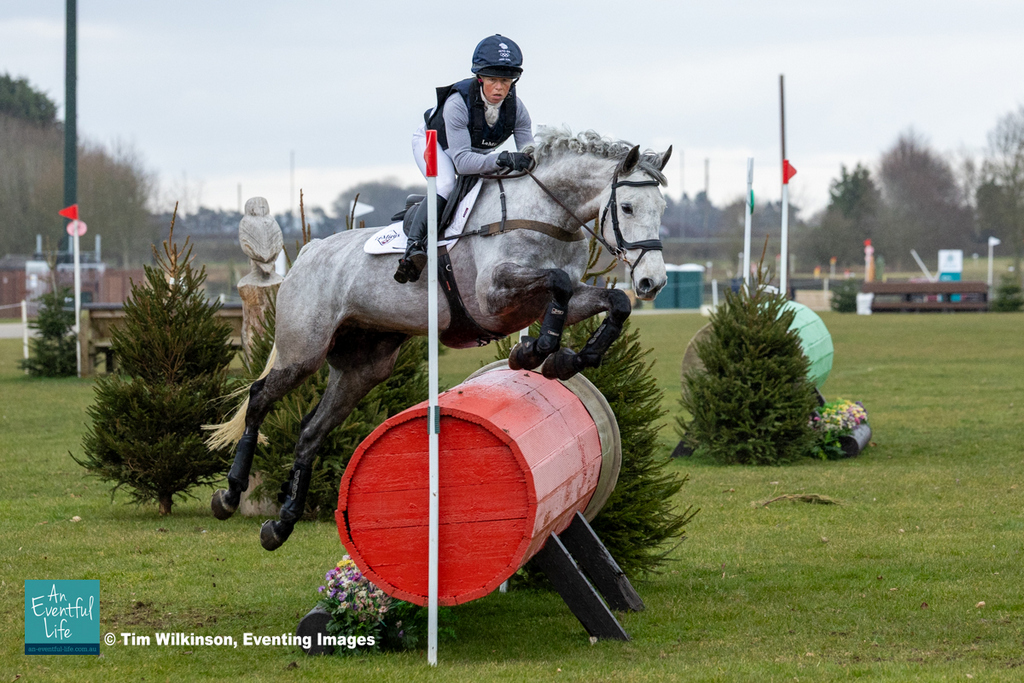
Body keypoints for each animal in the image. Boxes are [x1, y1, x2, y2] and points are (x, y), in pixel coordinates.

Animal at [206, 126, 672, 551]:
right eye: (627, 206)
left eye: (662, 208)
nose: (653, 282)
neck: (543, 215)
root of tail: (309, 251)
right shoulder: (492, 295)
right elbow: (555, 281)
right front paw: (531, 352)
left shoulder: (559, 298)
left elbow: (613, 302)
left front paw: (565, 359)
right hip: (304, 351)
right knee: (259, 397)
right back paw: (229, 494)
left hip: (364, 368)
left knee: (310, 432)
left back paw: (280, 525)